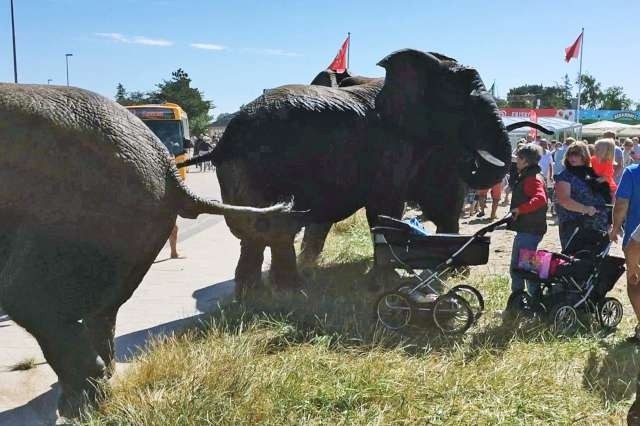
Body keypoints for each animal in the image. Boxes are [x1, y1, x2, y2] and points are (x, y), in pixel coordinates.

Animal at [181, 47, 516, 292]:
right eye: (464, 106)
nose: (471, 156)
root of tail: (225, 141)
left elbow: (438, 202)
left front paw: (454, 272)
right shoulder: (390, 145)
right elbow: (388, 207)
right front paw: (387, 283)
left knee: (256, 230)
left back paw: (255, 294)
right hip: (262, 167)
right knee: (276, 227)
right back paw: (291, 292)